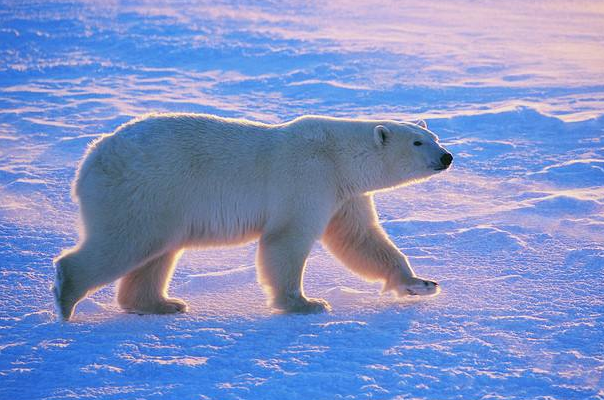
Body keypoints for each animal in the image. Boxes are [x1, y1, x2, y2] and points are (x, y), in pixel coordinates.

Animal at [54, 112, 452, 318]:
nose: (447, 156)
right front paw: (305, 303)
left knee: (157, 251)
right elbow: (286, 239)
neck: (338, 156)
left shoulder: (345, 194)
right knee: (125, 242)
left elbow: (361, 238)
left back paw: (162, 304)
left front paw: (421, 283)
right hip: (144, 190)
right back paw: (66, 297)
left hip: (163, 203)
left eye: (433, 136)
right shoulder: (308, 177)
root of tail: (91, 159)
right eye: (418, 142)